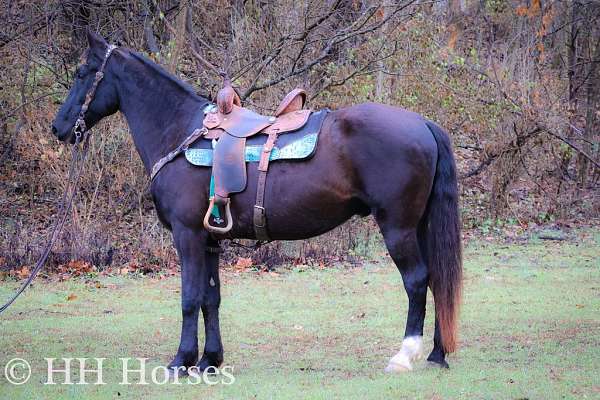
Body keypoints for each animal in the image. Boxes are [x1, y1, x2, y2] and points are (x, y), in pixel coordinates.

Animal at [52, 32, 464, 374]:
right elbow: (210, 298)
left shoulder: (188, 235)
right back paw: (436, 353)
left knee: (417, 280)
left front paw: (182, 361)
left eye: (82, 72)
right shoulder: (210, 239)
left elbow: (189, 298)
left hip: (397, 228)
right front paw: (209, 361)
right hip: (419, 226)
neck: (180, 131)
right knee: (437, 279)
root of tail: (423, 124)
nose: (59, 128)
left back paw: (404, 356)